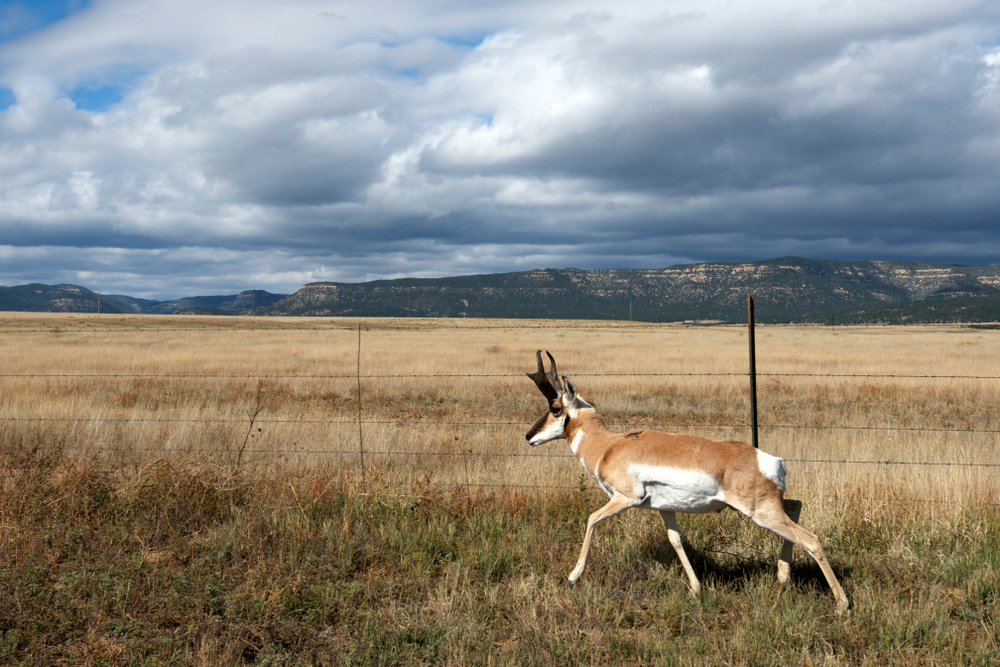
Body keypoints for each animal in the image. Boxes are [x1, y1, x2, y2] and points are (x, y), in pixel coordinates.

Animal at [528, 352, 848, 612]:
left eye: (555, 408)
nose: (529, 436)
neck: (609, 446)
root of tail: (768, 460)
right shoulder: (665, 508)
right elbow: (676, 540)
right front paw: (695, 588)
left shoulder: (624, 498)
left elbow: (592, 519)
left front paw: (572, 577)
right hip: (768, 508)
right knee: (796, 506)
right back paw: (783, 577)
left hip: (761, 512)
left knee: (812, 539)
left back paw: (842, 604)